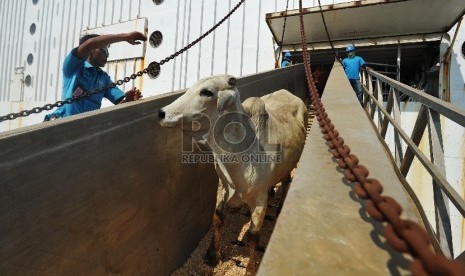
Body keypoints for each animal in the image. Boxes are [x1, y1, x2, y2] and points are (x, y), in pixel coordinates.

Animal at [158, 74, 306, 274]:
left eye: (207, 92)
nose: (162, 113)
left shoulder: (259, 199)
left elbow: (253, 236)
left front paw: (250, 269)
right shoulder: (225, 188)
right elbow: (217, 218)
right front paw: (212, 255)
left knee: (286, 181)